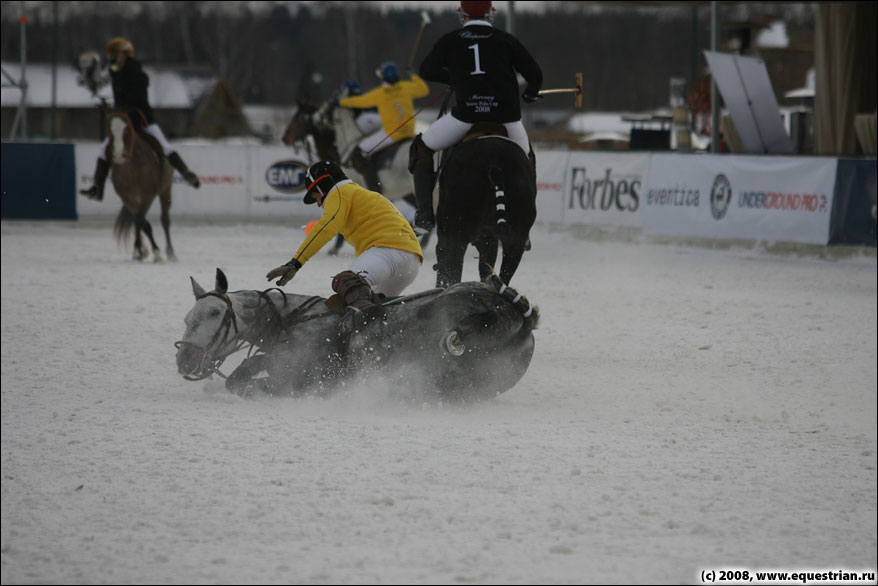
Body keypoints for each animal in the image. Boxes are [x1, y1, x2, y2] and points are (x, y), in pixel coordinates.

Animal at [106, 110, 175, 262]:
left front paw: (155, 252)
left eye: (127, 129)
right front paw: (139, 250)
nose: (118, 155)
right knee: (138, 219)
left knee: (165, 219)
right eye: (109, 130)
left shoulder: (147, 195)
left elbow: (140, 220)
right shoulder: (127, 198)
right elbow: (140, 221)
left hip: (165, 189)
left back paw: (170, 252)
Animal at [436, 133, 540, 288]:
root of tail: (495, 167)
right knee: (504, 272)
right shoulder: (488, 238)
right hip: (516, 236)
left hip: (457, 232)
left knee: (452, 266)